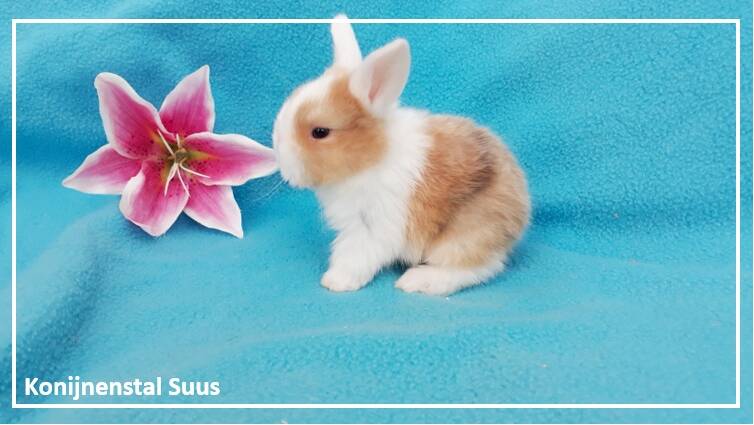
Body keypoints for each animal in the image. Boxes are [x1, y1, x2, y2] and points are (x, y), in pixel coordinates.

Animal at [273, 15, 530, 296]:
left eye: (320, 132)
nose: (281, 164)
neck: (372, 158)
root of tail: (521, 213)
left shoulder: (371, 228)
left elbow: (354, 256)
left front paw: (335, 281)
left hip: (465, 234)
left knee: (476, 267)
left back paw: (417, 280)